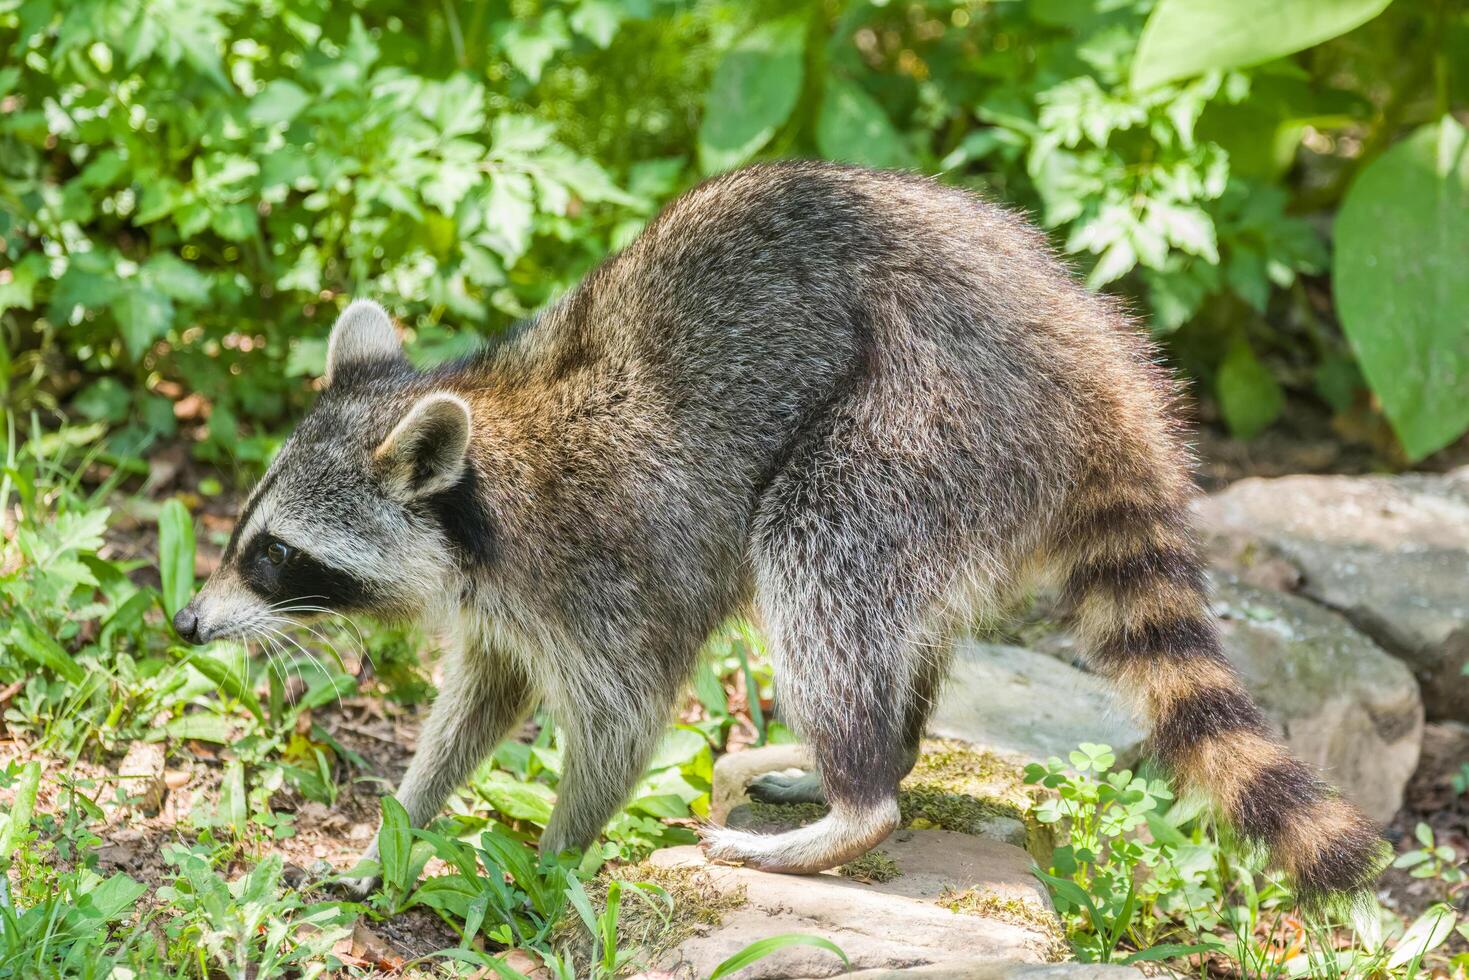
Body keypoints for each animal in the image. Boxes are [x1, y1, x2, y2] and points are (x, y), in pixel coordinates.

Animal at [177, 160, 1380, 905]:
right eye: (245, 530)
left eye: (273, 554)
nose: (186, 623)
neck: (487, 472)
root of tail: (1104, 374)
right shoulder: (504, 600)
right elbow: (484, 699)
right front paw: (402, 819)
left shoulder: (605, 565)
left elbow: (620, 720)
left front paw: (550, 861)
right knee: (891, 612)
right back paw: (883, 753)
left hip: (930, 419)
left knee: (816, 549)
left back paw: (858, 802)